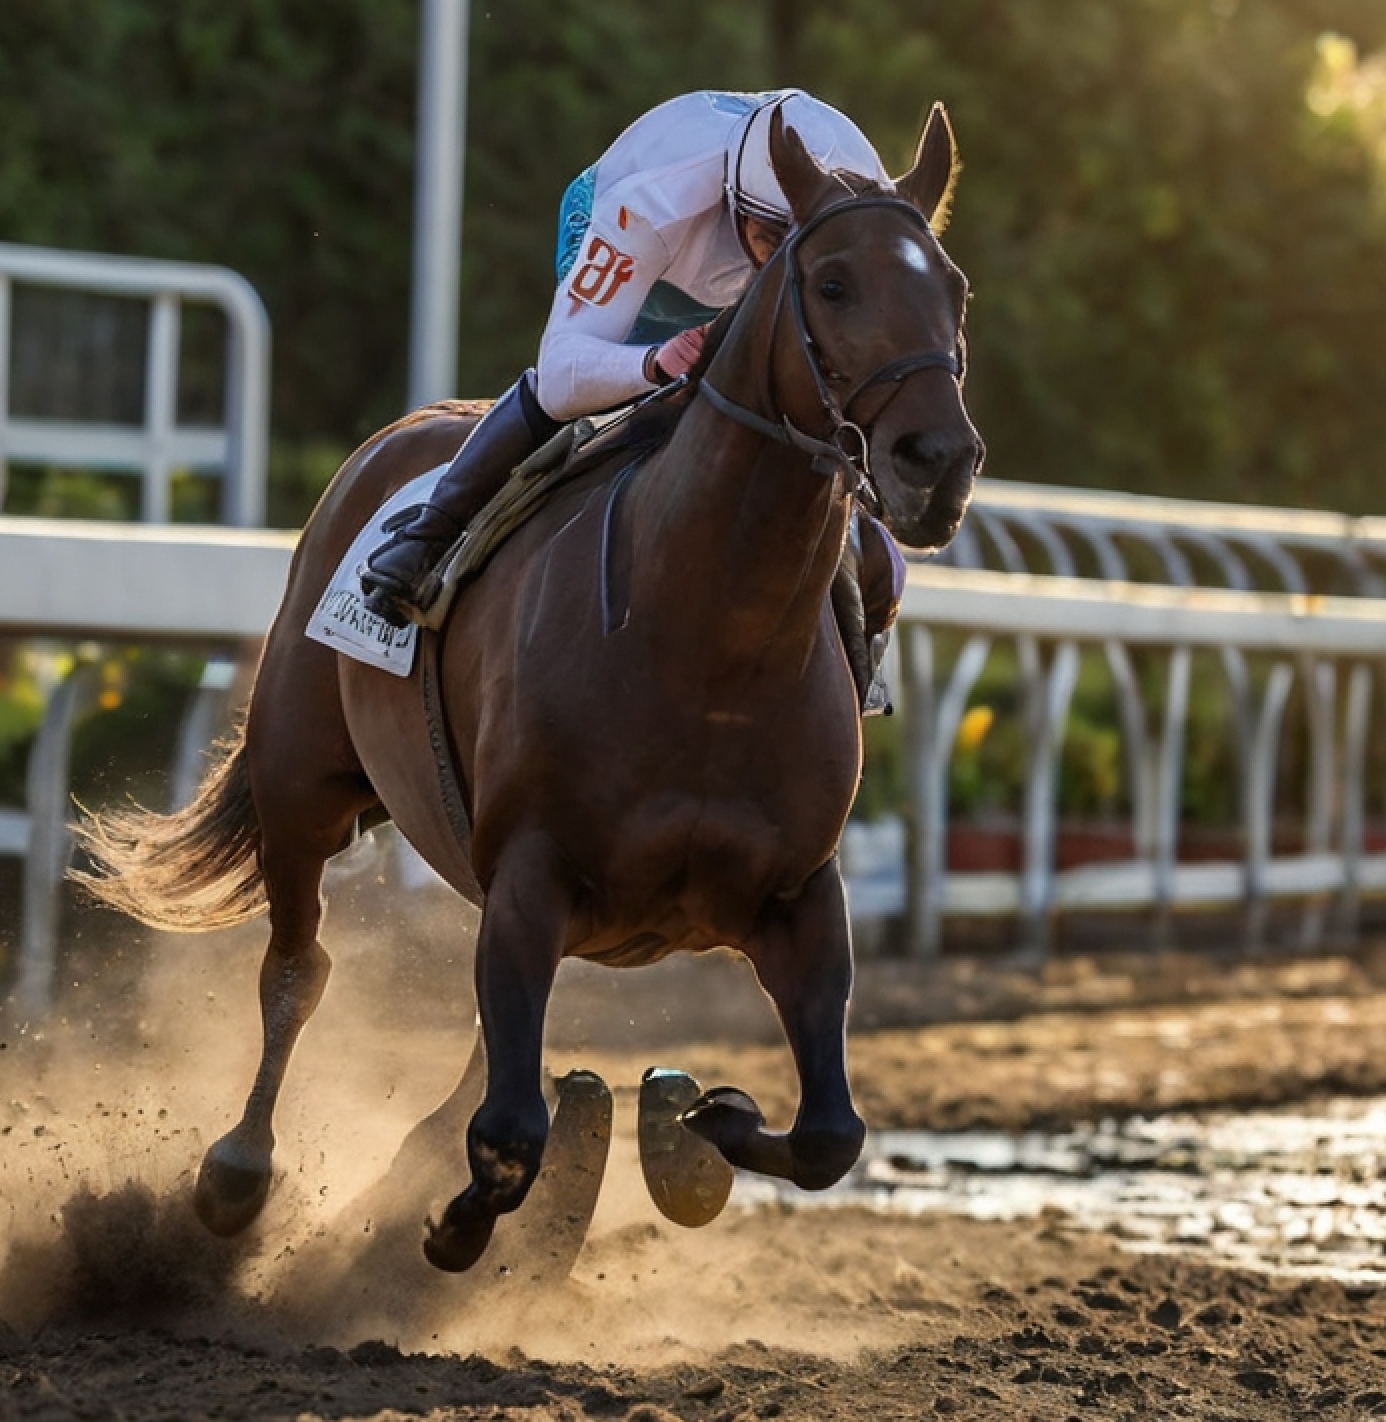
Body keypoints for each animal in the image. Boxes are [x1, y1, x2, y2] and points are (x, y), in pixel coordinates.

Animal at [75, 104, 983, 1275]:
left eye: (954, 287)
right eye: (831, 282)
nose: (938, 461)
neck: (710, 647)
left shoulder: (797, 894)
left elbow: (830, 1132)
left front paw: (702, 1123)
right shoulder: (532, 872)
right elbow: (507, 1135)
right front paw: (449, 1222)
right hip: (299, 781)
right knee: (298, 971)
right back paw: (239, 1173)